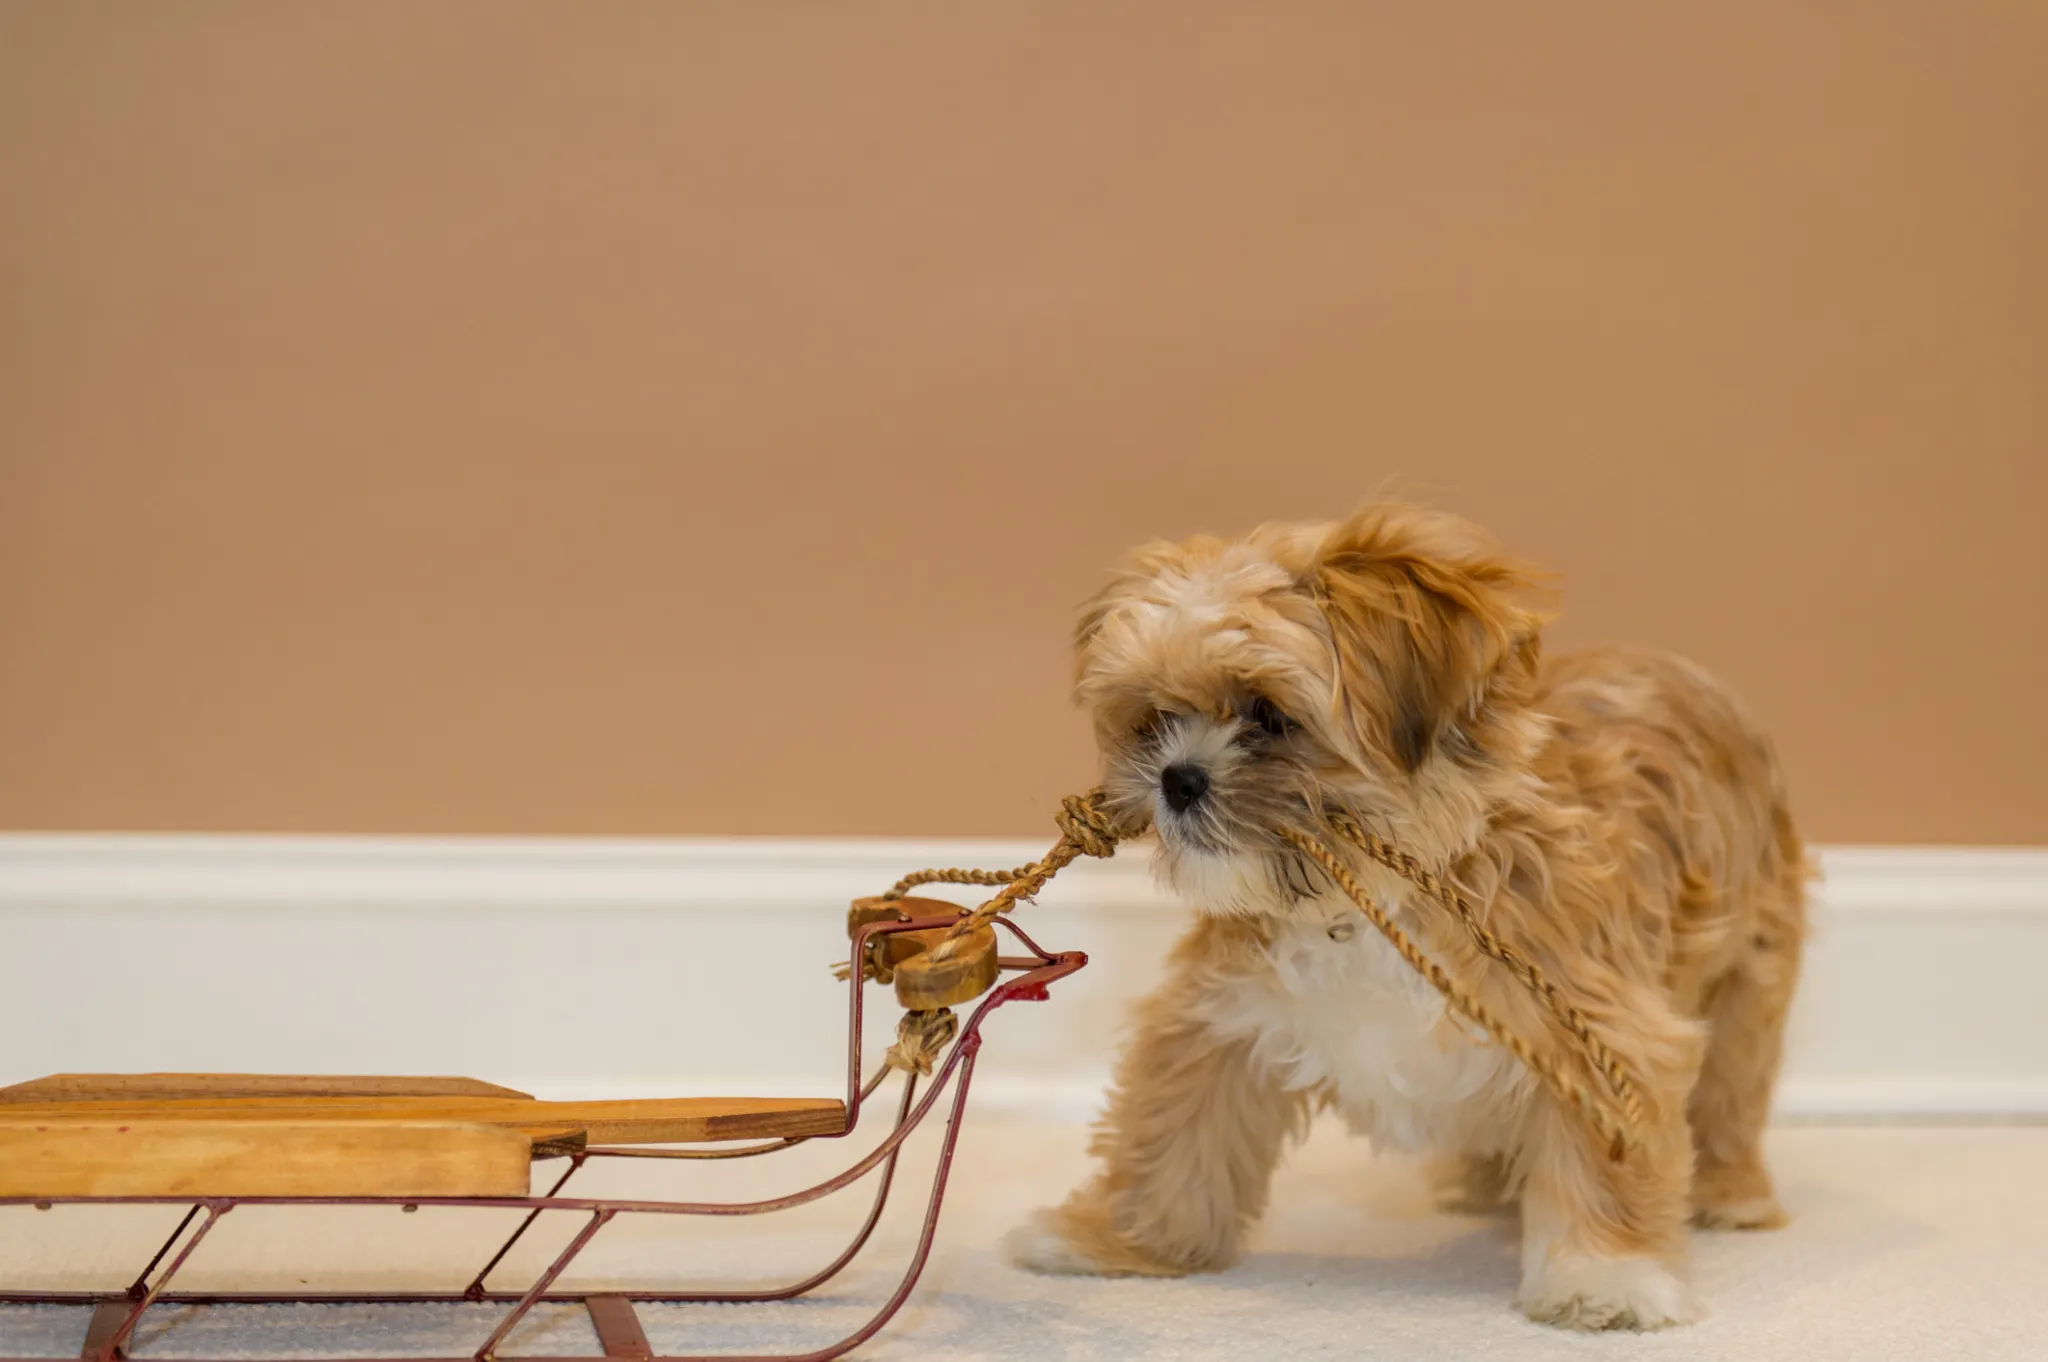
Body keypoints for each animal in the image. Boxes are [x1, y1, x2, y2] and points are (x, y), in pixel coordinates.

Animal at [1007, 499, 1810, 1327]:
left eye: (1268, 715)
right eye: (1154, 719)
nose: (1177, 778)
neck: (1368, 899)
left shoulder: (1594, 1026)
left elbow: (1603, 1154)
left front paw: (1605, 1277)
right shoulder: (1218, 1014)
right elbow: (1171, 1134)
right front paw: (1114, 1239)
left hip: (1749, 979)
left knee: (1731, 1093)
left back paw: (1731, 1194)